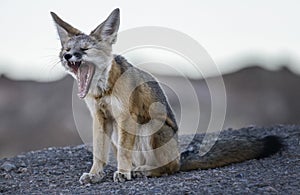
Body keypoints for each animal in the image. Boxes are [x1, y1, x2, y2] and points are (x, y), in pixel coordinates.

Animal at [50, 8, 282, 184]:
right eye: (66, 49)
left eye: (84, 49)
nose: (67, 56)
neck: (104, 90)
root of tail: (179, 157)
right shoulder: (100, 117)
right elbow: (99, 152)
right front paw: (95, 174)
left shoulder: (126, 116)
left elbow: (124, 152)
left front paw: (122, 173)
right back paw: (136, 169)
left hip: (149, 126)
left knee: (166, 169)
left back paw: (140, 171)